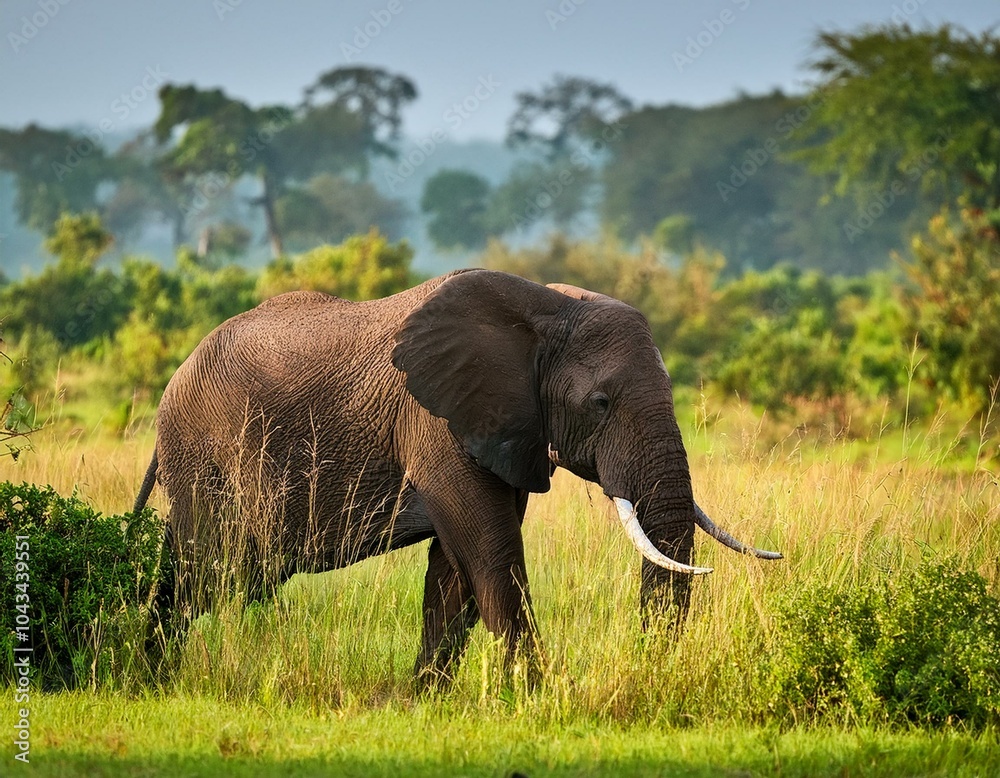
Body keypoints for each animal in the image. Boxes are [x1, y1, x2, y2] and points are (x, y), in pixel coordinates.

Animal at [133, 269, 780, 683]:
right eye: (600, 404)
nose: (648, 666)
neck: (545, 308)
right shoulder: (436, 422)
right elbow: (491, 556)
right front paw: (540, 697)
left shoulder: (503, 428)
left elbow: (453, 575)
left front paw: (414, 704)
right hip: (208, 455)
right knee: (206, 570)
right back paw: (149, 679)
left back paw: (144, 676)